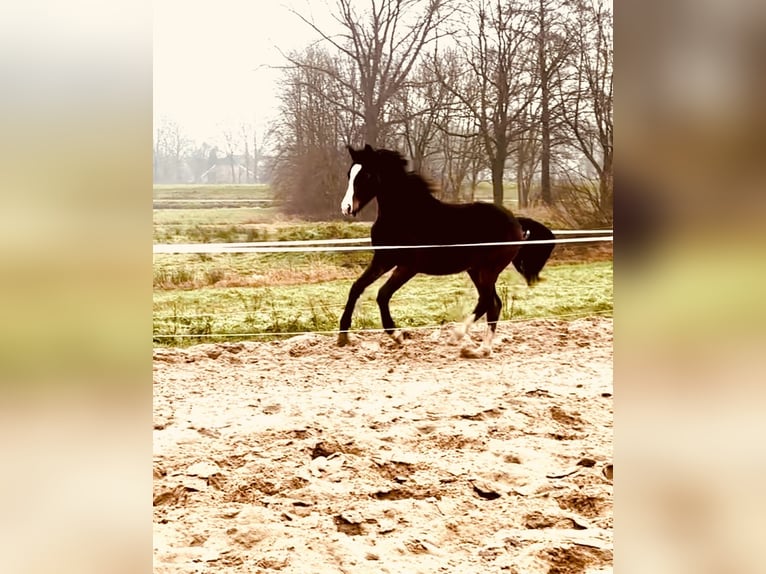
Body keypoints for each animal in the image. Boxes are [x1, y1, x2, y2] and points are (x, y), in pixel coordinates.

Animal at [340, 145, 556, 356]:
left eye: (367, 175)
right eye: (349, 174)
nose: (346, 207)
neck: (405, 215)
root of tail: (516, 222)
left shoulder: (408, 266)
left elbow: (382, 295)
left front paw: (397, 335)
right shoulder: (383, 259)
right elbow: (356, 288)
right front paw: (342, 336)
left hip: (489, 269)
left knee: (488, 301)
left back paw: (460, 337)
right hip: (476, 270)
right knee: (493, 303)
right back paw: (481, 349)